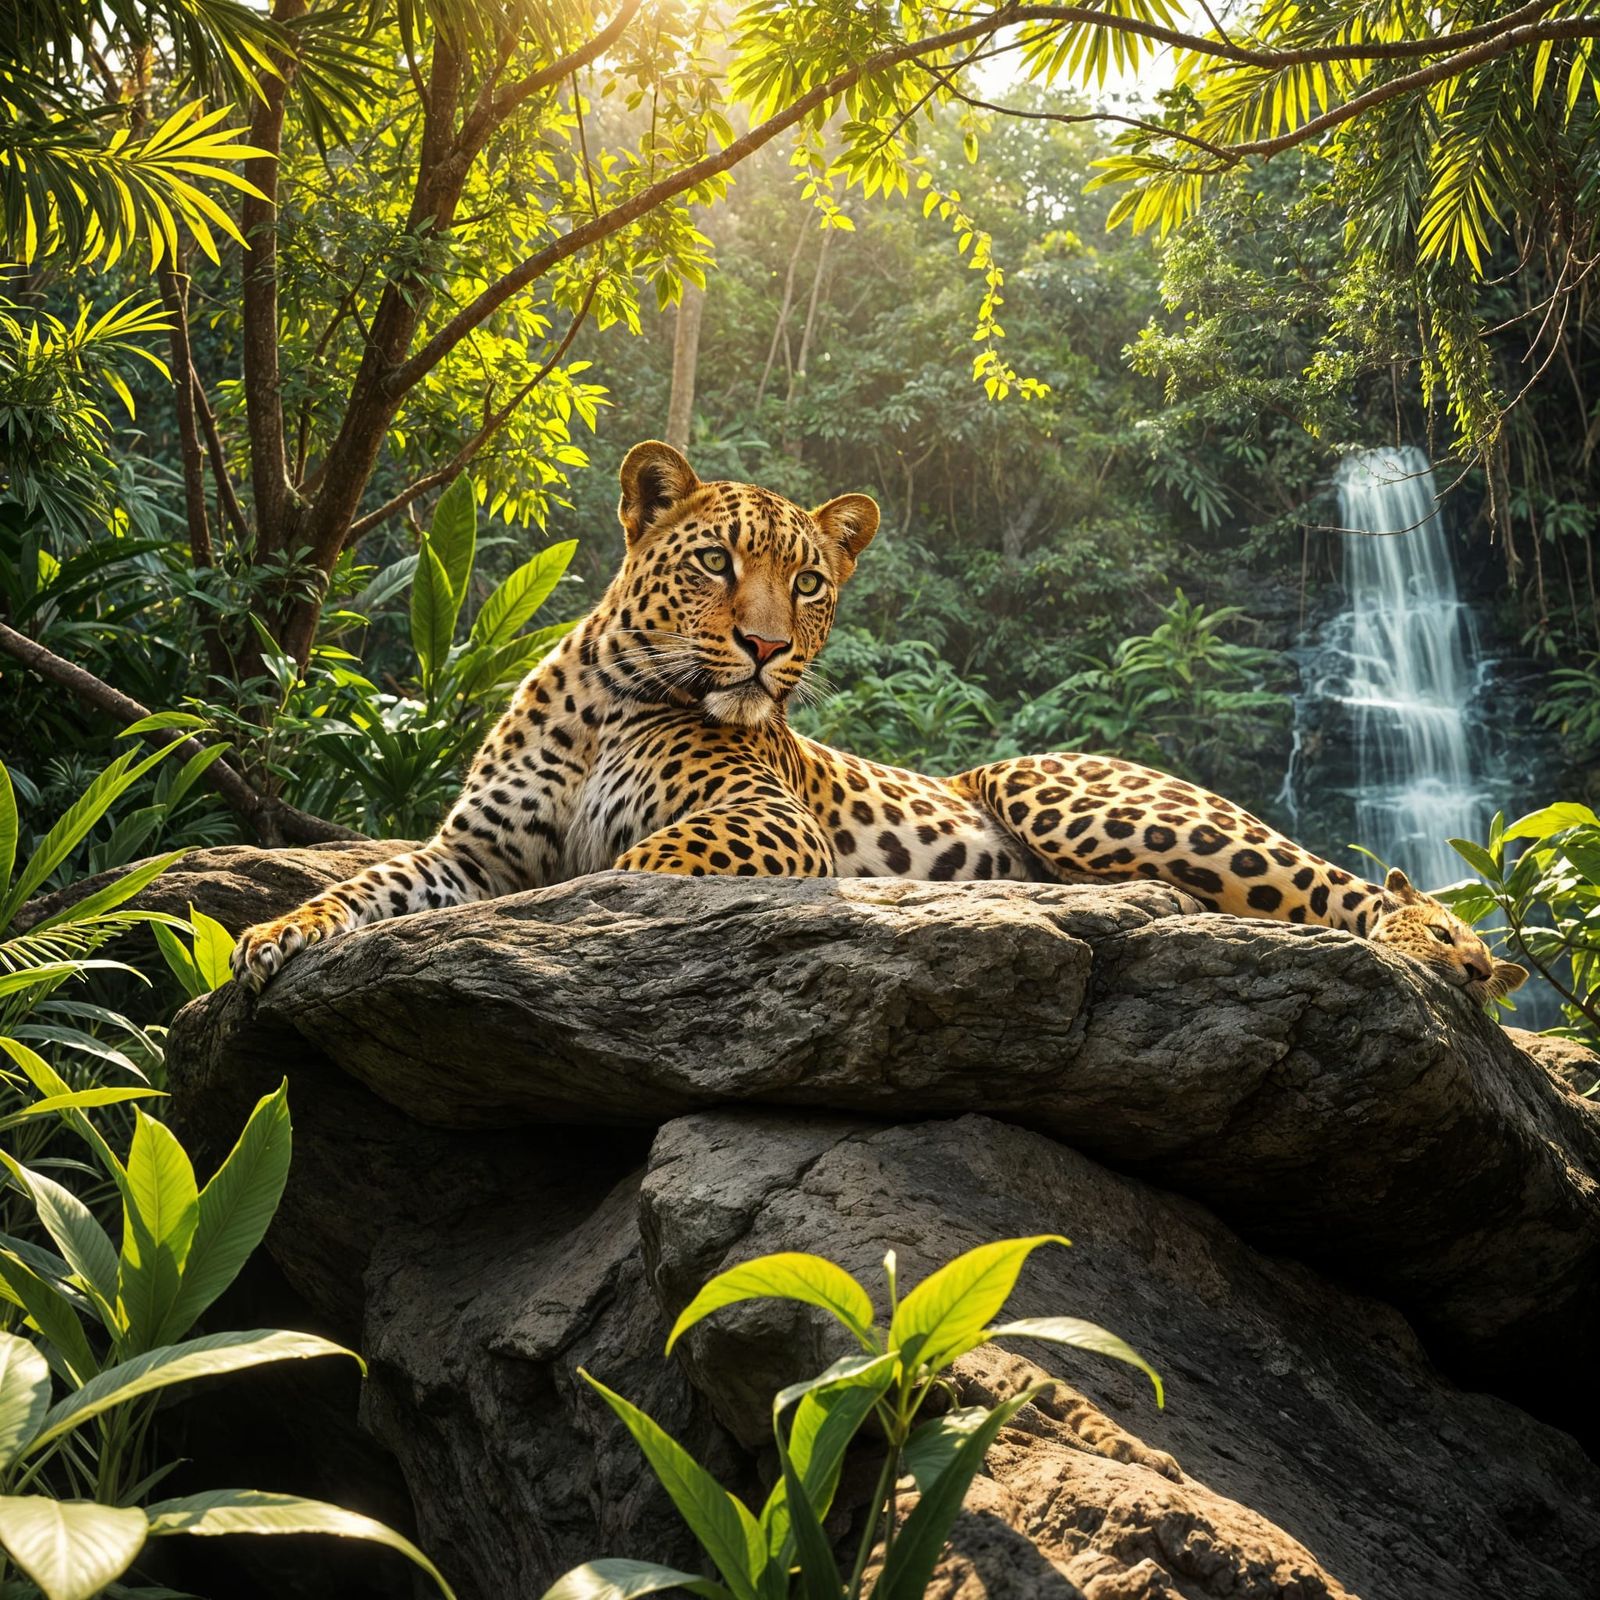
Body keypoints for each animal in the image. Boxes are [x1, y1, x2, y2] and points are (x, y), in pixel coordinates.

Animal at [232, 440, 1527, 1011]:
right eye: (716, 562)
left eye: (808, 582)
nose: (766, 649)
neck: (609, 700)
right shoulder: (470, 852)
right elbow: (372, 884)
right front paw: (276, 933)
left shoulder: (761, 825)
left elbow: (625, 865)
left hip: (1085, 798)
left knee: (1336, 886)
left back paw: (1453, 950)